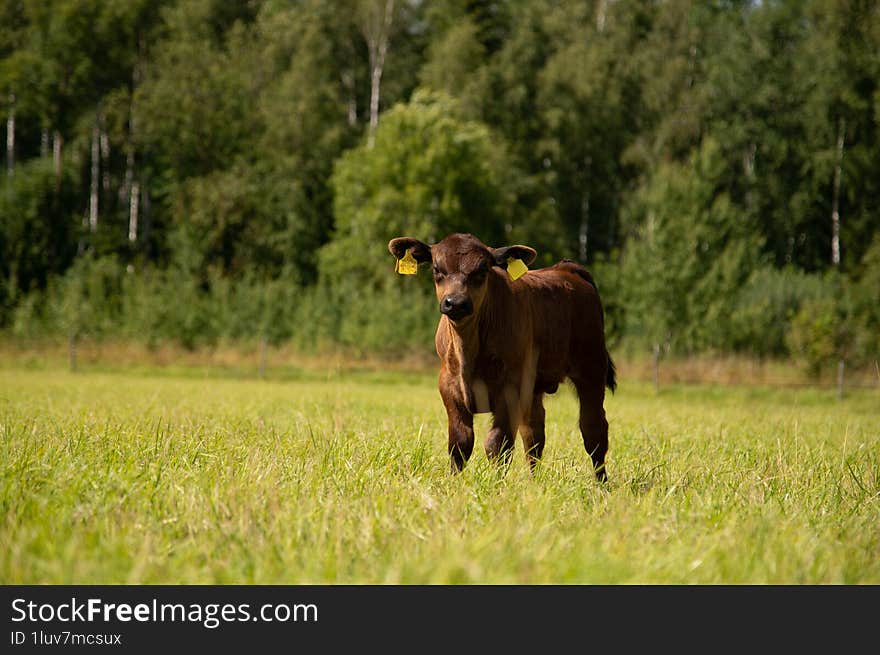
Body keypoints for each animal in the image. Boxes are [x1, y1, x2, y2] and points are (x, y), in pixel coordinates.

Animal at [388, 233, 616, 480]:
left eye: (482, 270)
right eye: (437, 269)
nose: (456, 303)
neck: (468, 350)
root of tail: (566, 269)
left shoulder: (510, 389)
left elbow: (497, 444)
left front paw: (495, 483)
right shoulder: (449, 386)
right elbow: (460, 442)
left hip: (591, 367)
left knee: (593, 429)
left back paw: (601, 483)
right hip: (535, 385)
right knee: (534, 434)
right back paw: (533, 481)